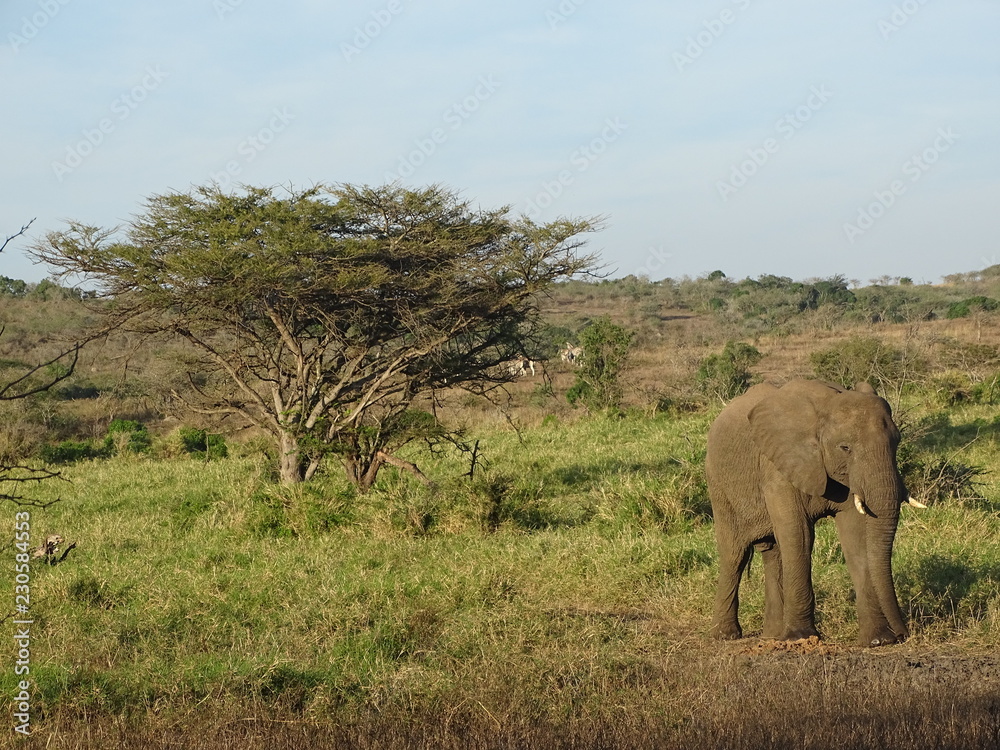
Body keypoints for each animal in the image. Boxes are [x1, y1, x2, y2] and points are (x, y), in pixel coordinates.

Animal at [706, 378, 922, 647]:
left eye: (897, 442)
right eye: (845, 448)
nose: (902, 634)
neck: (827, 405)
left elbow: (856, 536)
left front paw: (878, 639)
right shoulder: (778, 466)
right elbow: (799, 535)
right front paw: (800, 639)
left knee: (773, 553)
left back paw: (773, 635)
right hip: (718, 483)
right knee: (734, 554)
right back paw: (725, 636)